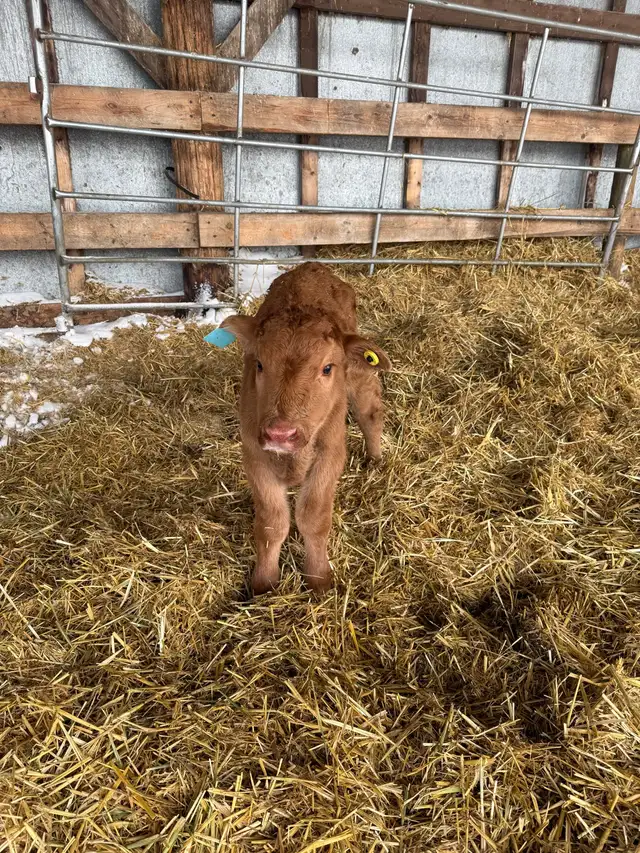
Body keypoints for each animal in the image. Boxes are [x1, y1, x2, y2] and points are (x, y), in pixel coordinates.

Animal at [218, 262, 390, 595]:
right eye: (259, 364)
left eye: (327, 368)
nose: (280, 434)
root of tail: (313, 268)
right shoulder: (254, 455)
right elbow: (272, 523)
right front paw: (264, 583)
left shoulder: (331, 455)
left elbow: (313, 517)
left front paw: (319, 580)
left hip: (360, 376)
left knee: (370, 414)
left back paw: (375, 458)